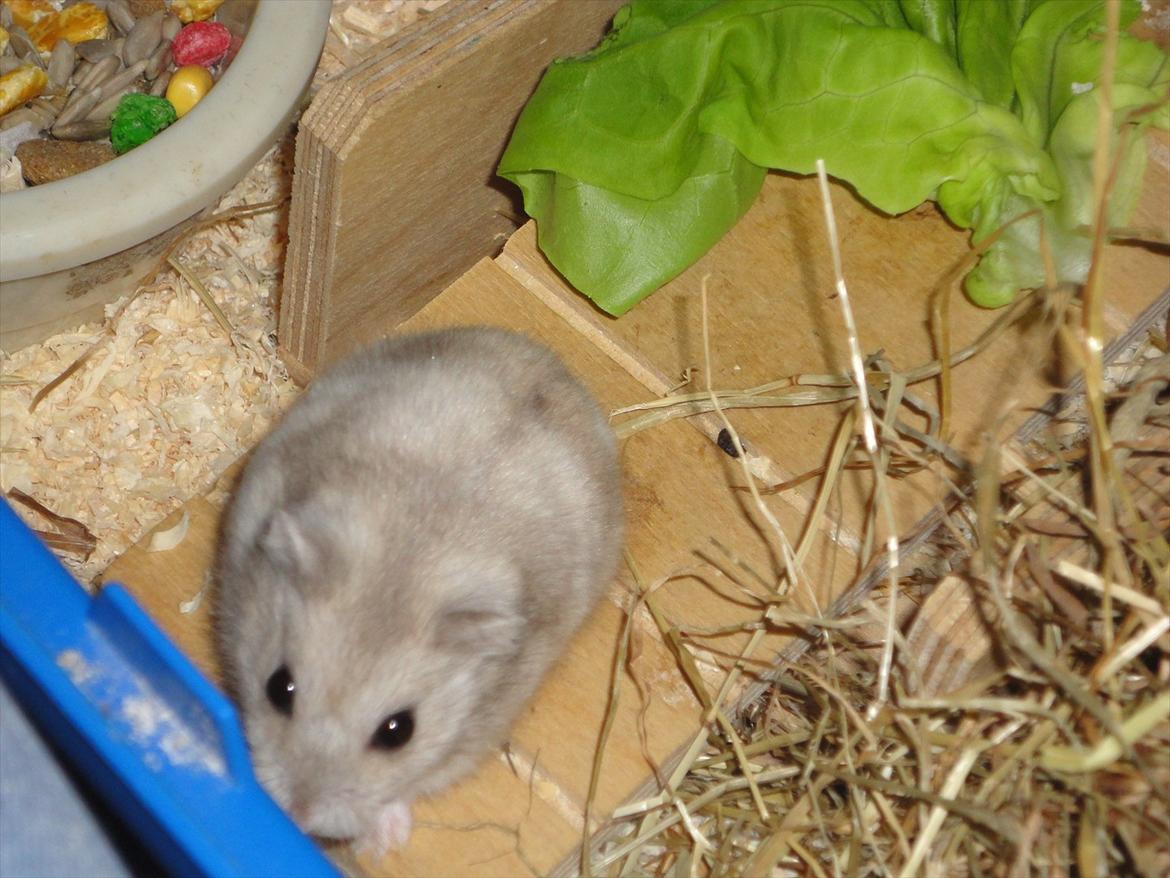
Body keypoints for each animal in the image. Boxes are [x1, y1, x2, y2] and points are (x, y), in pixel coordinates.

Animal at [216, 327, 623, 854]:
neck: (406, 559)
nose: (298, 815)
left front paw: (381, 843)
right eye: (277, 687)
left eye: (399, 732)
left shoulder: (474, 734)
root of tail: (552, 361)